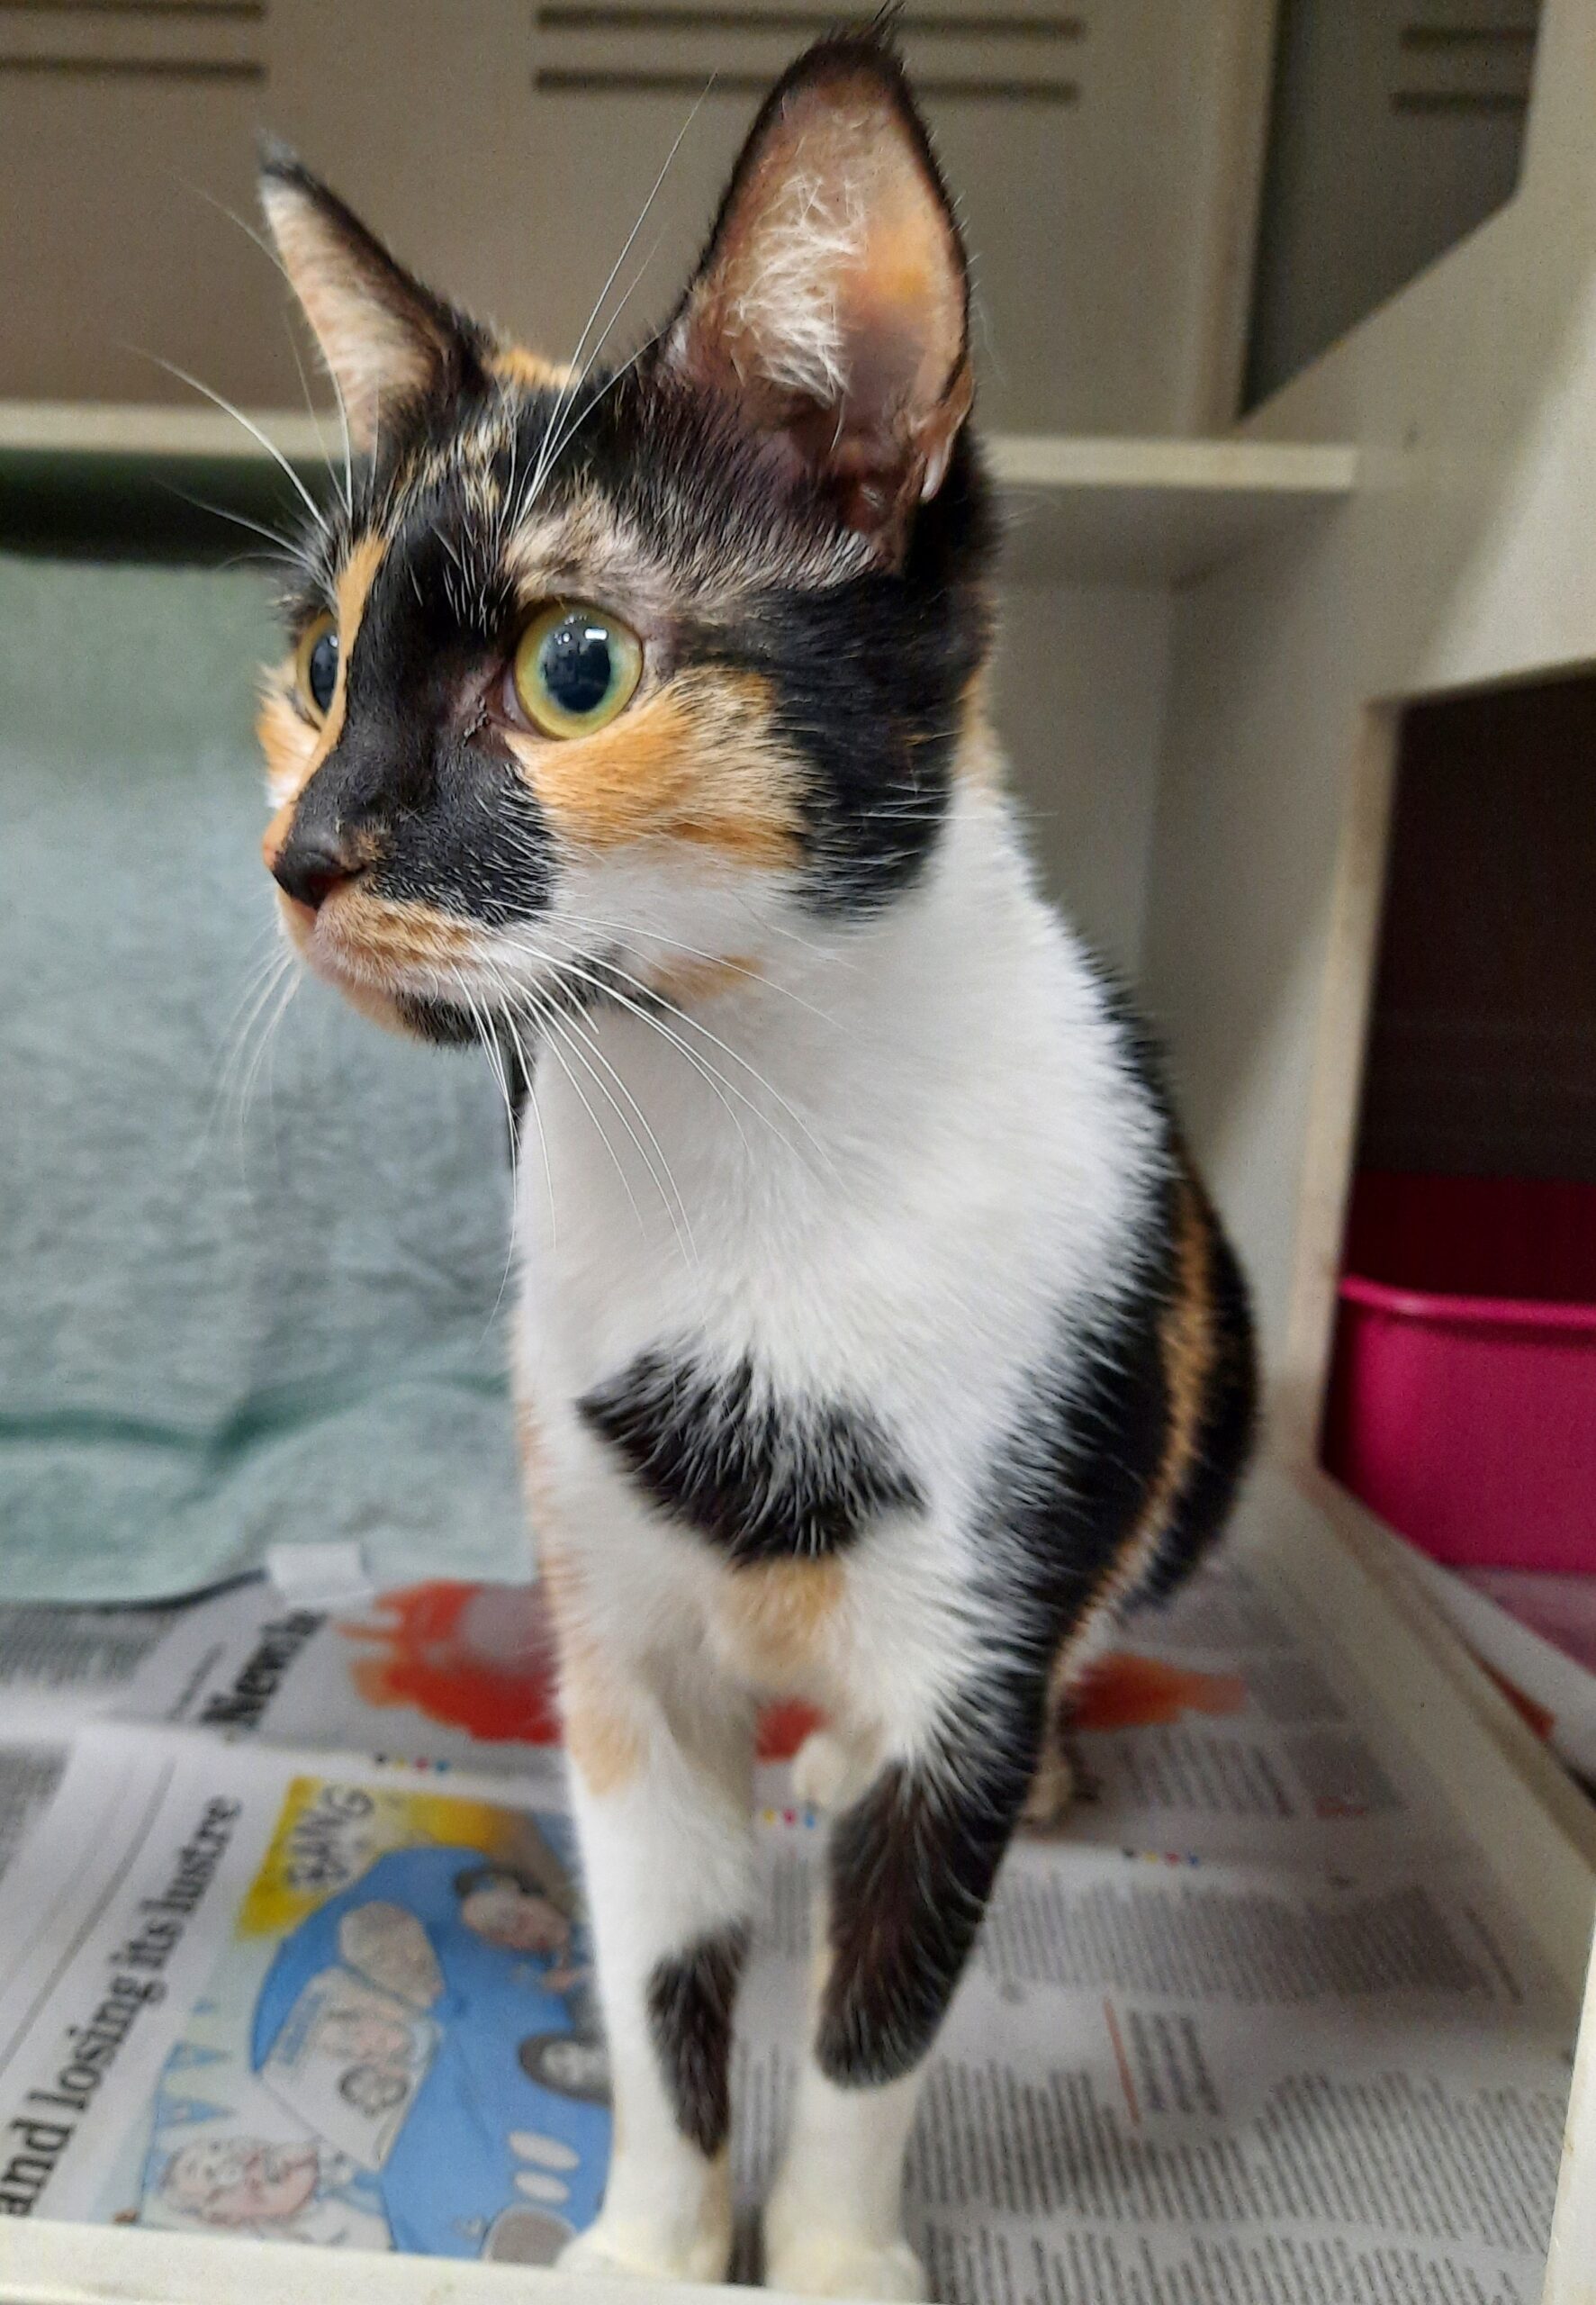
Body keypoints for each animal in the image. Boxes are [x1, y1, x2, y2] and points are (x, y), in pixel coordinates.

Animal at [256, 31, 1256, 2298]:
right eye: (318, 667)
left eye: (577, 664)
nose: (305, 847)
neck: (737, 1148)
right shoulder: (618, 1652)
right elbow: (660, 1985)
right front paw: (645, 2237)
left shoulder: (961, 1664)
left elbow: (876, 2019)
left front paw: (833, 2254)